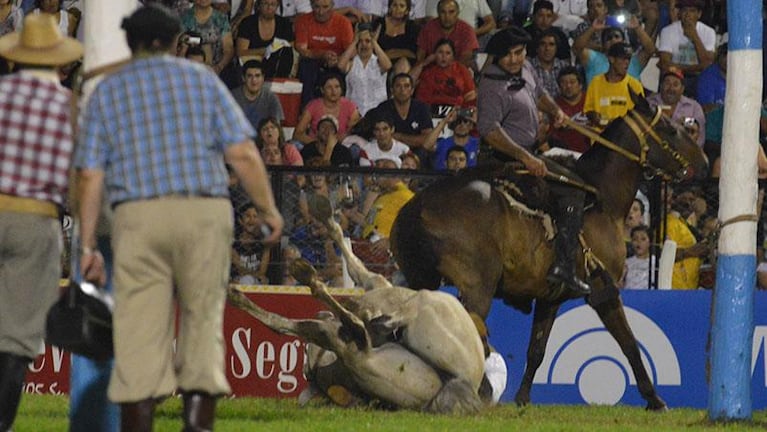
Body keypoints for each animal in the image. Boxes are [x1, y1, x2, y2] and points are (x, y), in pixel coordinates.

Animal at [392, 93, 712, 410]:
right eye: (671, 129)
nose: (705, 160)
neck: (602, 202)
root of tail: (417, 207)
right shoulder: (603, 290)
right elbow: (630, 343)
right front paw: (654, 398)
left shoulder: (549, 298)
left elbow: (537, 350)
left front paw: (522, 398)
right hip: (477, 287)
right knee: (472, 333)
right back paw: (480, 389)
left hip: (422, 280)